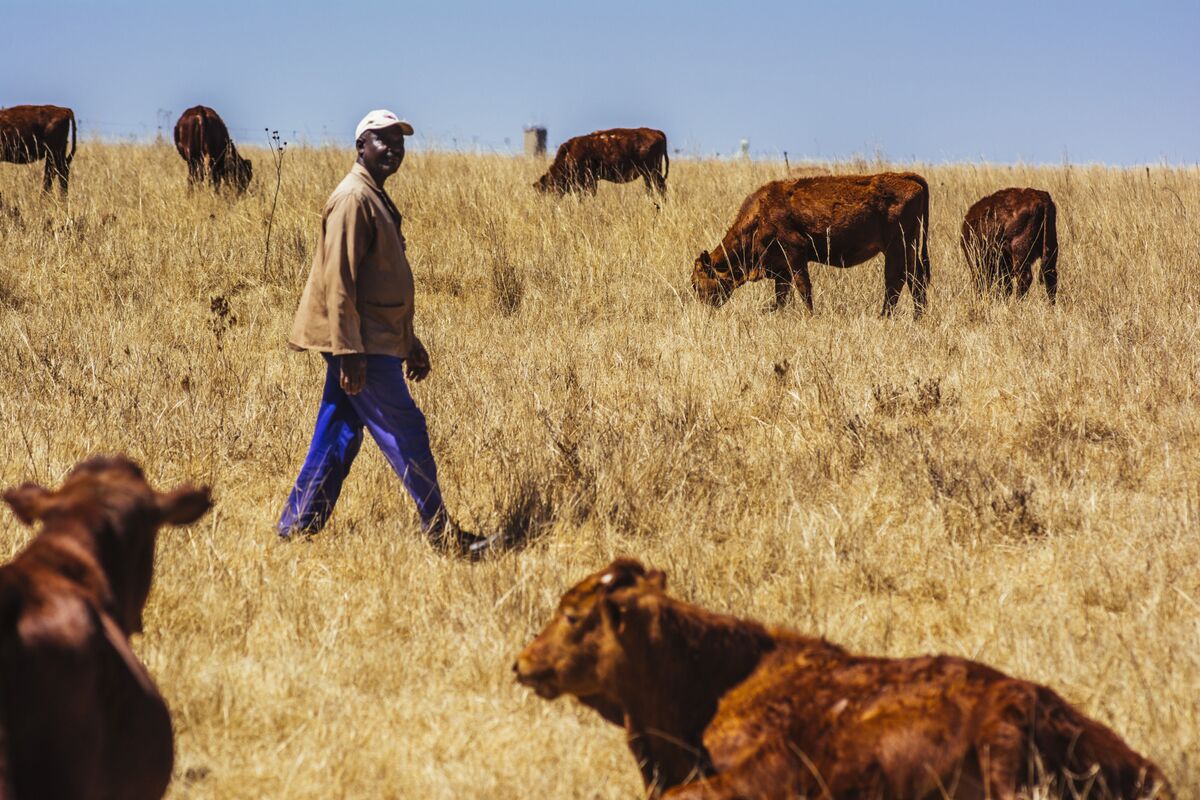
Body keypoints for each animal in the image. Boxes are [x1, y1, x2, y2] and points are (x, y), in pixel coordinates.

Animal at [532, 128, 667, 197]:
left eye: (548, 189)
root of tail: (656, 132)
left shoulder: (588, 182)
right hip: (648, 175)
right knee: (651, 189)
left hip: (653, 172)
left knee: (660, 188)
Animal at [691, 172, 931, 316]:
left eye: (695, 283)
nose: (702, 310)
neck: (759, 216)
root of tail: (907, 177)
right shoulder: (781, 269)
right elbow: (781, 297)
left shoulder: (795, 255)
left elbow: (804, 288)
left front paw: (810, 316)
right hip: (909, 248)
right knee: (915, 280)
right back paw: (918, 317)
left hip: (896, 248)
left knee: (895, 281)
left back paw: (884, 317)